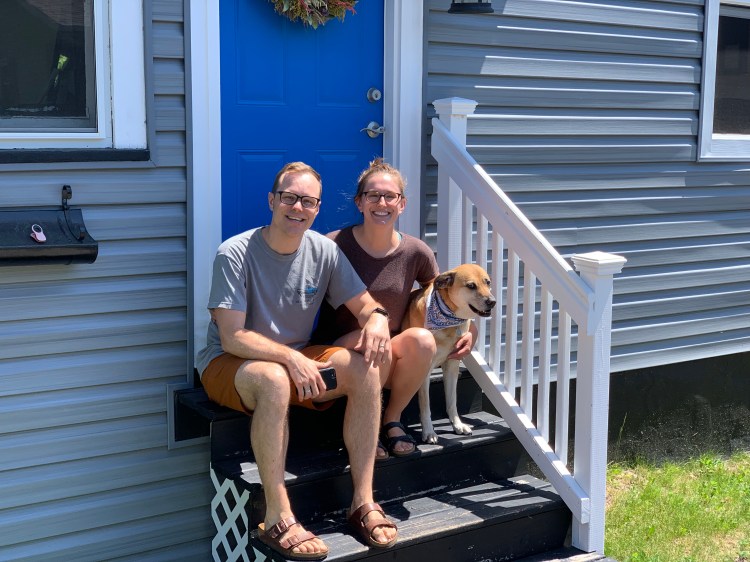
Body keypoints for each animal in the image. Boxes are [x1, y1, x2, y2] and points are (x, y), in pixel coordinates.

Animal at [402, 263, 496, 443]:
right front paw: (429, 432)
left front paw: (457, 425)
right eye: (471, 286)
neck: (450, 321)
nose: (492, 302)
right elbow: (426, 405)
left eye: (487, 282)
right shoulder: (425, 371)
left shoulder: (452, 366)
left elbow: (452, 401)